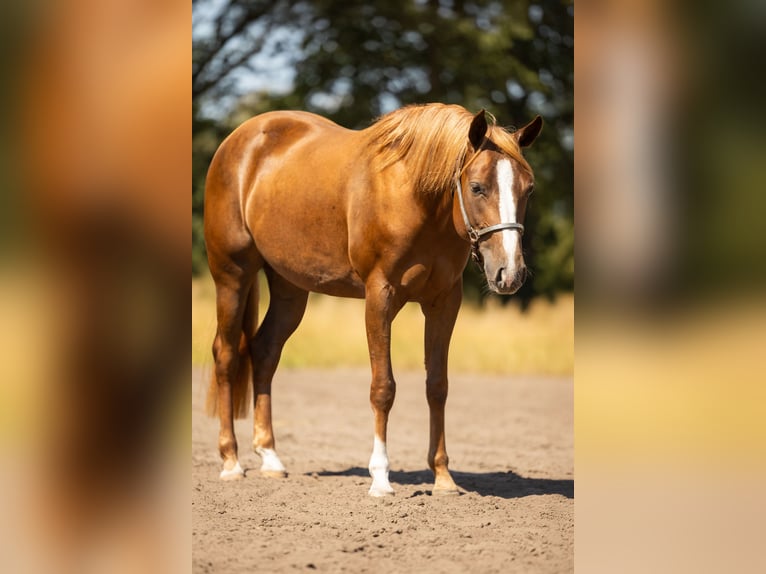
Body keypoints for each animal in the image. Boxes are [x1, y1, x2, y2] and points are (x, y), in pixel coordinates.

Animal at [204, 103, 542, 496]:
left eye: (529, 189)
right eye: (477, 187)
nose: (510, 273)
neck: (415, 197)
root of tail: (239, 139)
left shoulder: (444, 301)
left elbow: (437, 386)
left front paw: (443, 477)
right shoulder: (379, 295)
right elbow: (383, 387)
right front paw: (380, 478)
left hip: (290, 288)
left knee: (264, 351)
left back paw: (270, 458)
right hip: (232, 275)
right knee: (226, 355)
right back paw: (231, 461)